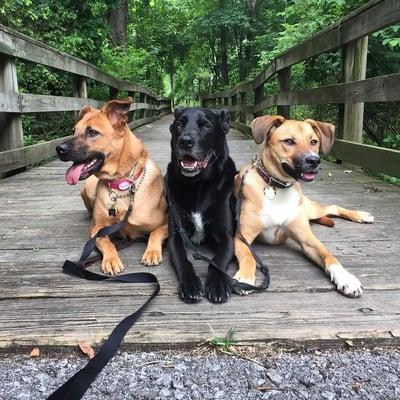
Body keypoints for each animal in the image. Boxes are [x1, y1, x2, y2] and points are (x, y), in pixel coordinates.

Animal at [55, 97, 167, 276]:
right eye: (74, 131)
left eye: (92, 132)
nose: (59, 149)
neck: (121, 184)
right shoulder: (97, 229)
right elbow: (106, 242)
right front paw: (111, 260)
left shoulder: (166, 225)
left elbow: (156, 233)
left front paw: (152, 252)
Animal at [166, 106, 238, 304]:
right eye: (179, 124)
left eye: (206, 125)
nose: (185, 141)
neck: (197, 184)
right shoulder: (175, 236)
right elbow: (184, 261)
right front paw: (190, 284)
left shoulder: (227, 237)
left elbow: (216, 262)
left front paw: (217, 284)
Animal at [233, 114, 374, 296]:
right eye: (289, 141)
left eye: (313, 141)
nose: (314, 160)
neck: (278, 187)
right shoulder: (241, 237)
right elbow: (248, 257)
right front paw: (245, 277)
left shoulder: (307, 239)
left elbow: (329, 255)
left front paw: (345, 277)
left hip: (311, 209)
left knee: (332, 207)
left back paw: (361, 215)